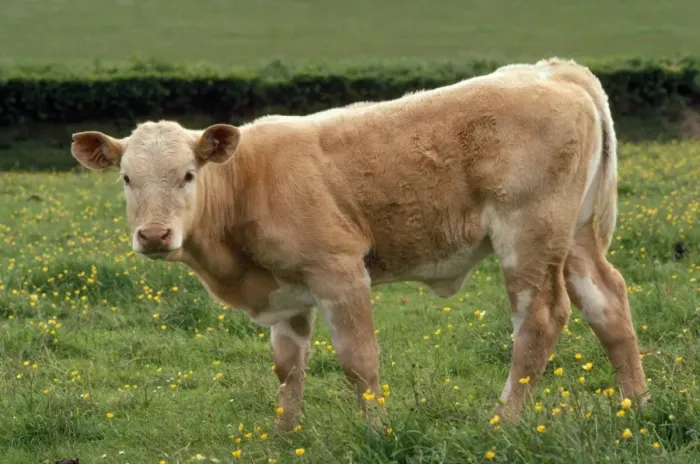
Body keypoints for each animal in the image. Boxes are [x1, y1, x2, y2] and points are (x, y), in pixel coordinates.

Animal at [70, 57, 649, 431]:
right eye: (126, 178)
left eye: (188, 175)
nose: (153, 235)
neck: (249, 181)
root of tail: (553, 70)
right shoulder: (286, 294)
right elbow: (288, 368)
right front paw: (285, 438)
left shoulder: (340, 272)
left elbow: (358, 361)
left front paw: (375, 430)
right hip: (574, 237)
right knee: (608, 301)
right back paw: (636, 405)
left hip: (528, 233)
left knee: (541, 318)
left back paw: (502, 422)